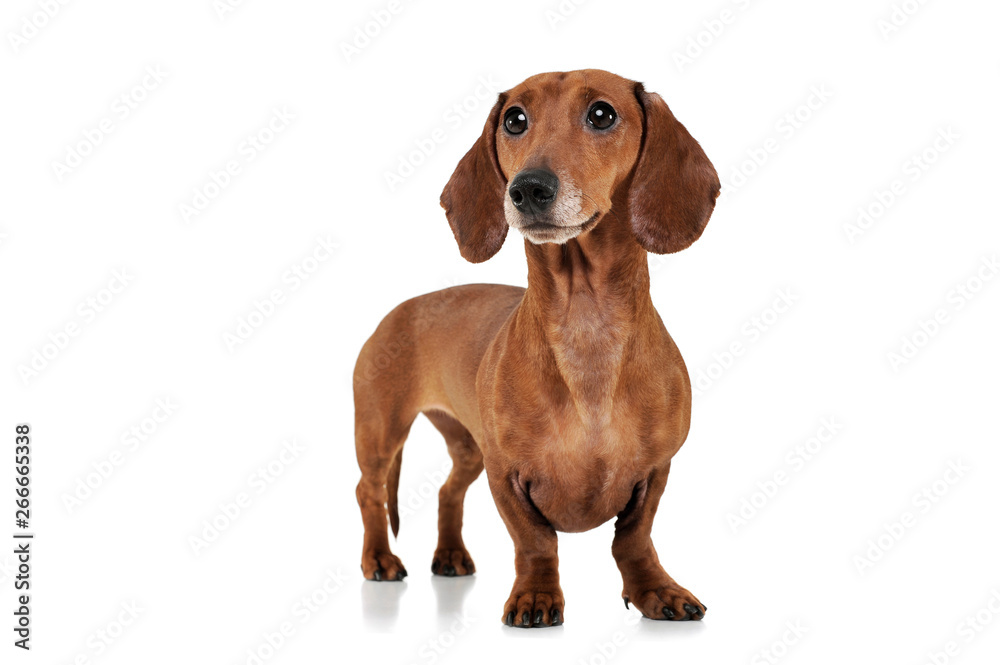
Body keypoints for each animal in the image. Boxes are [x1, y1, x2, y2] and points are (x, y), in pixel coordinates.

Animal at [352, 70, 720, 624]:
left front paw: (656, 590)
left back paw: (450, 555)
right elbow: (536, 542)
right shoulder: (506, 474)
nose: (527, 188)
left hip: (467, 447)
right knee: (369, 490)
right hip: (382, 430)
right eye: (514, 119)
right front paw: (536, 596)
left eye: (602, 114)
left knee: (447, 490)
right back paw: (379, 558)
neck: (585, 325)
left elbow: (634, 540)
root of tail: (400, 310)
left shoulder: (654, 472)